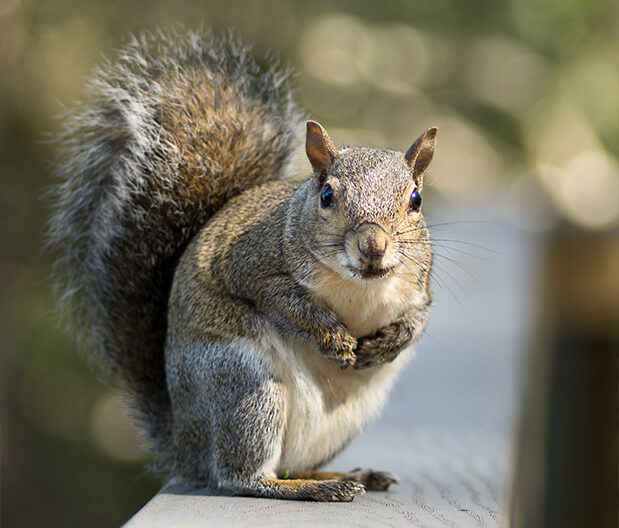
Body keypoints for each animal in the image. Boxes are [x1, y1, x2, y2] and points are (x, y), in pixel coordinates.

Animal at [47, 29, 436, 504]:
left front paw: (389, 344)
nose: (373, 247)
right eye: (326, 195)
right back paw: (308, 487)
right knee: (243, 478)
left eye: (415, 200)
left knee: (291, 464)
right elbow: (286, 305)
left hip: (340, 418)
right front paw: (333, 337)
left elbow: (418, 318)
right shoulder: (251, 265)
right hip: (246, 387)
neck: (360, 287)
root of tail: (187, 446)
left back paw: (347, 475)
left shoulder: (419, 288)